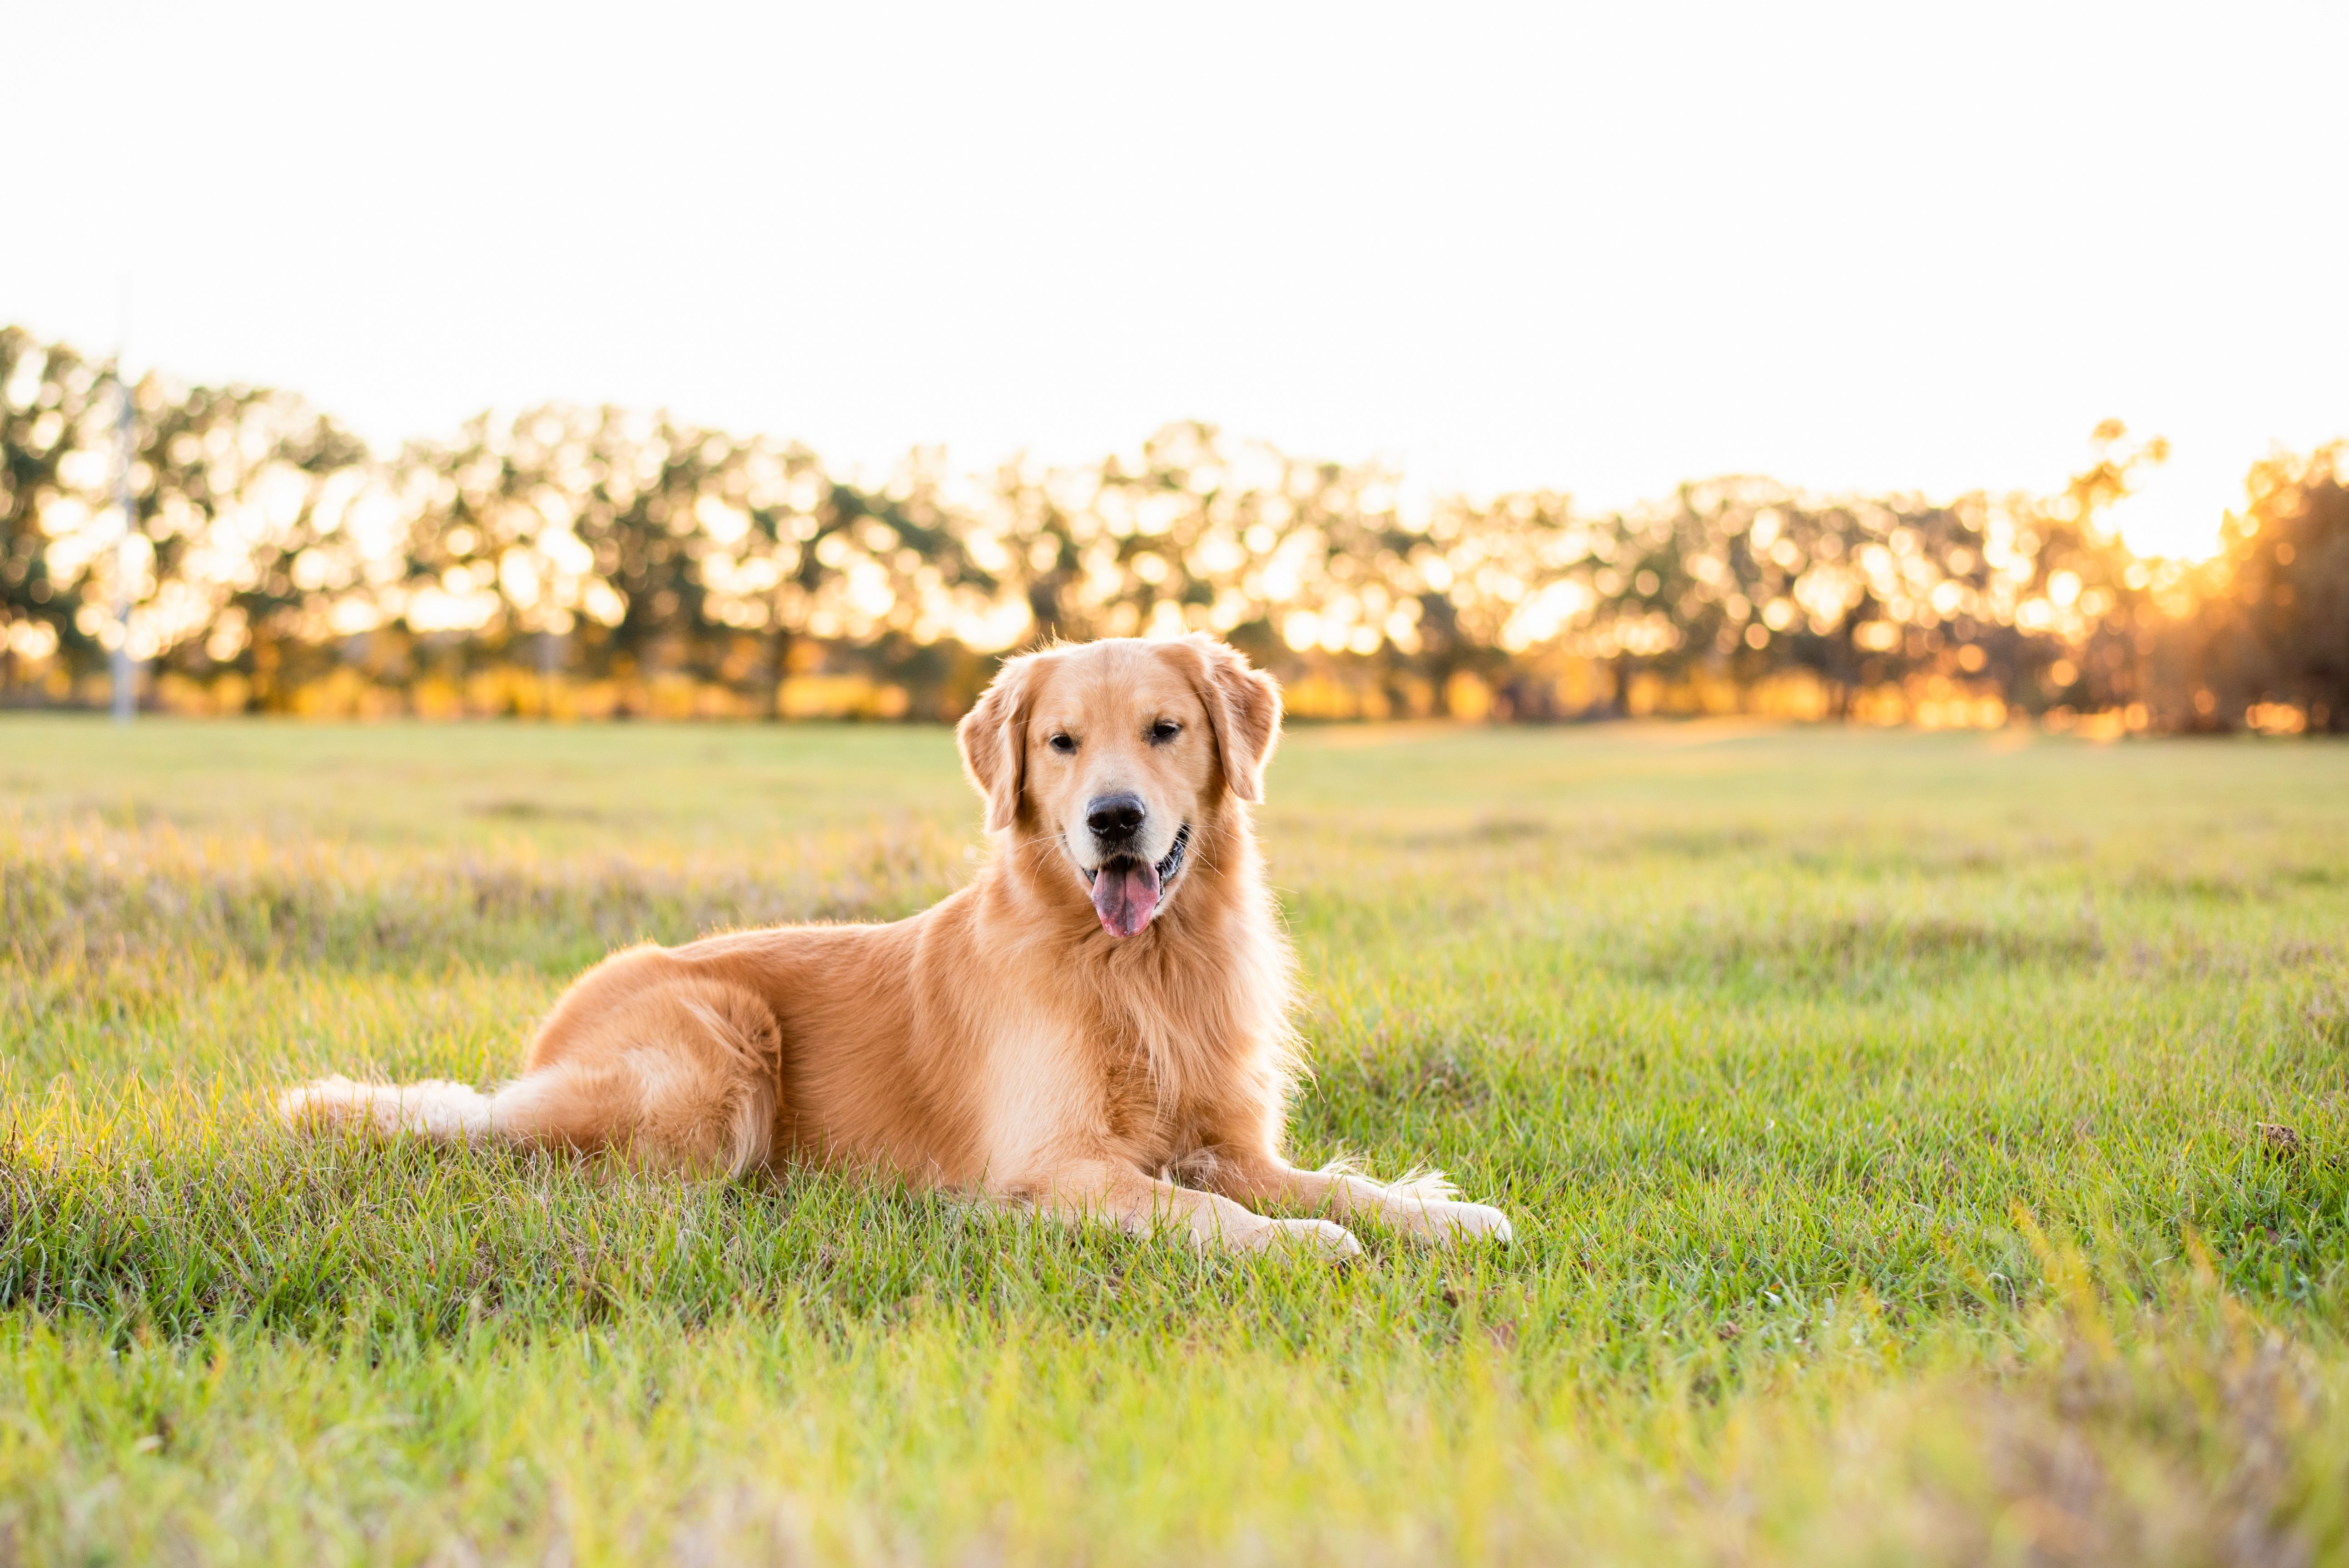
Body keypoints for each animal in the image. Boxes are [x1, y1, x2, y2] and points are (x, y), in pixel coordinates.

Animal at [284, 629, 1513, 1258]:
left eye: (1165, 731)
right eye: (1061, 743)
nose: (1113, 818)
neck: (1136, 964)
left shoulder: (1229, 1141)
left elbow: (1341, 1185)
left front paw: (1442, 1215)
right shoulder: (1057, 1162)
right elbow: (1214, 1215)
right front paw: (1304, 1244)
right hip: (716, 1048)